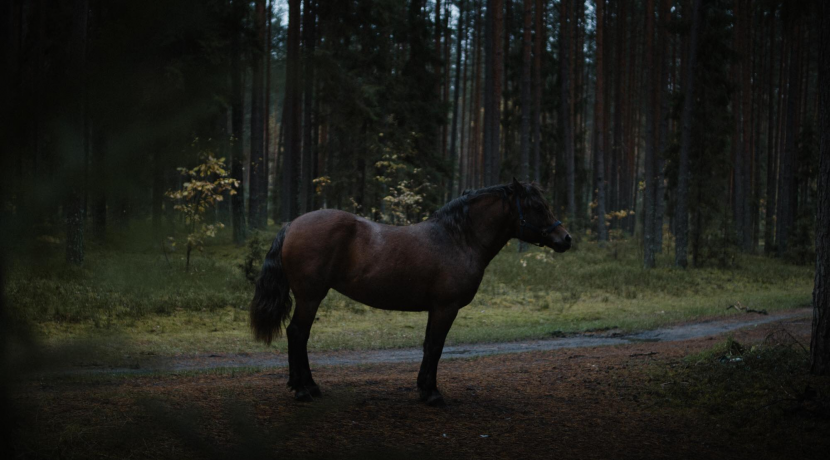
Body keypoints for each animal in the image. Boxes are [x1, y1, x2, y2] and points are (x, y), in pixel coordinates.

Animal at [249, 178, 572, 404]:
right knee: (297, 334)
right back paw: (302, 390)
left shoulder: (437, 309)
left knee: (300, 336)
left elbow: (429, 346)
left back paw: (311, 387)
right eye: (537, 207)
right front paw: (431, 394)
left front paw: (424, 389)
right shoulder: (445, 308)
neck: (458, 239)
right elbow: (435, 347)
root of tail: (292, 224)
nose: (565, 238)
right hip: (310, 296)